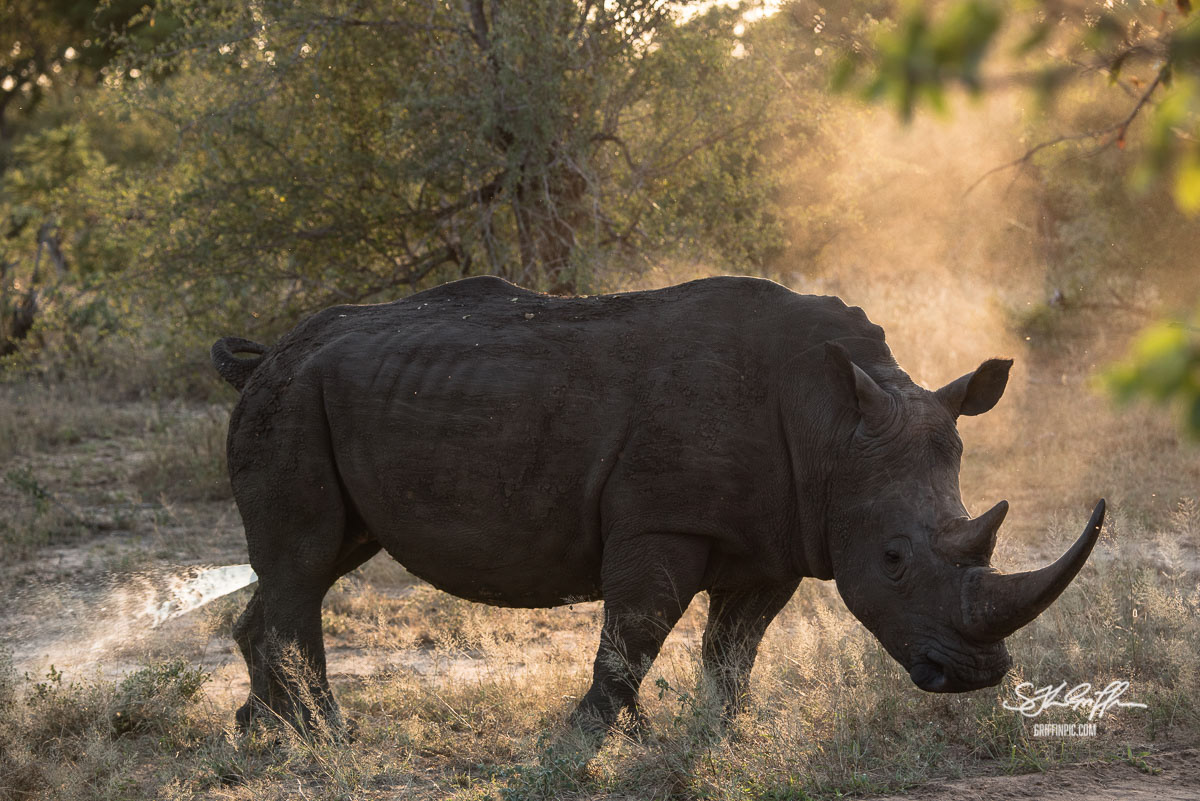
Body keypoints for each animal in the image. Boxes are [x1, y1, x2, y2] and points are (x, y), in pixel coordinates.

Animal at [211, 275, 1104, 732]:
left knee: (319, 562)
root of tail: (268, 352)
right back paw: (325, 732)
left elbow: (733, 646)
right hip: (293, 399)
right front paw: (590, 736)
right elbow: (635, 633)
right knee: (304, 561)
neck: (832, 424)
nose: (975, 677)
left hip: (329, 396)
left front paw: (730, 731)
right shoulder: (662, 520)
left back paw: (265, 729)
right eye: (892, 559)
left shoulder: (780, 534)